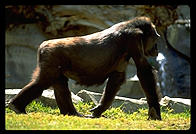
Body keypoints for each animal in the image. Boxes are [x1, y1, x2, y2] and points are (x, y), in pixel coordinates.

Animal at [8, 16, 161, 120]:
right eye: (155, 38)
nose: (157, 49)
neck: (133, 25)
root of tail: (42, 45)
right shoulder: (134, 39)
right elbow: (144, 72)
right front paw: (155, 112)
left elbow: (117, 78)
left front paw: (99, 109)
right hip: (50, 55)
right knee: (42, 82)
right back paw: (17, 106)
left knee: (59, 83)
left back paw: (70, 112)